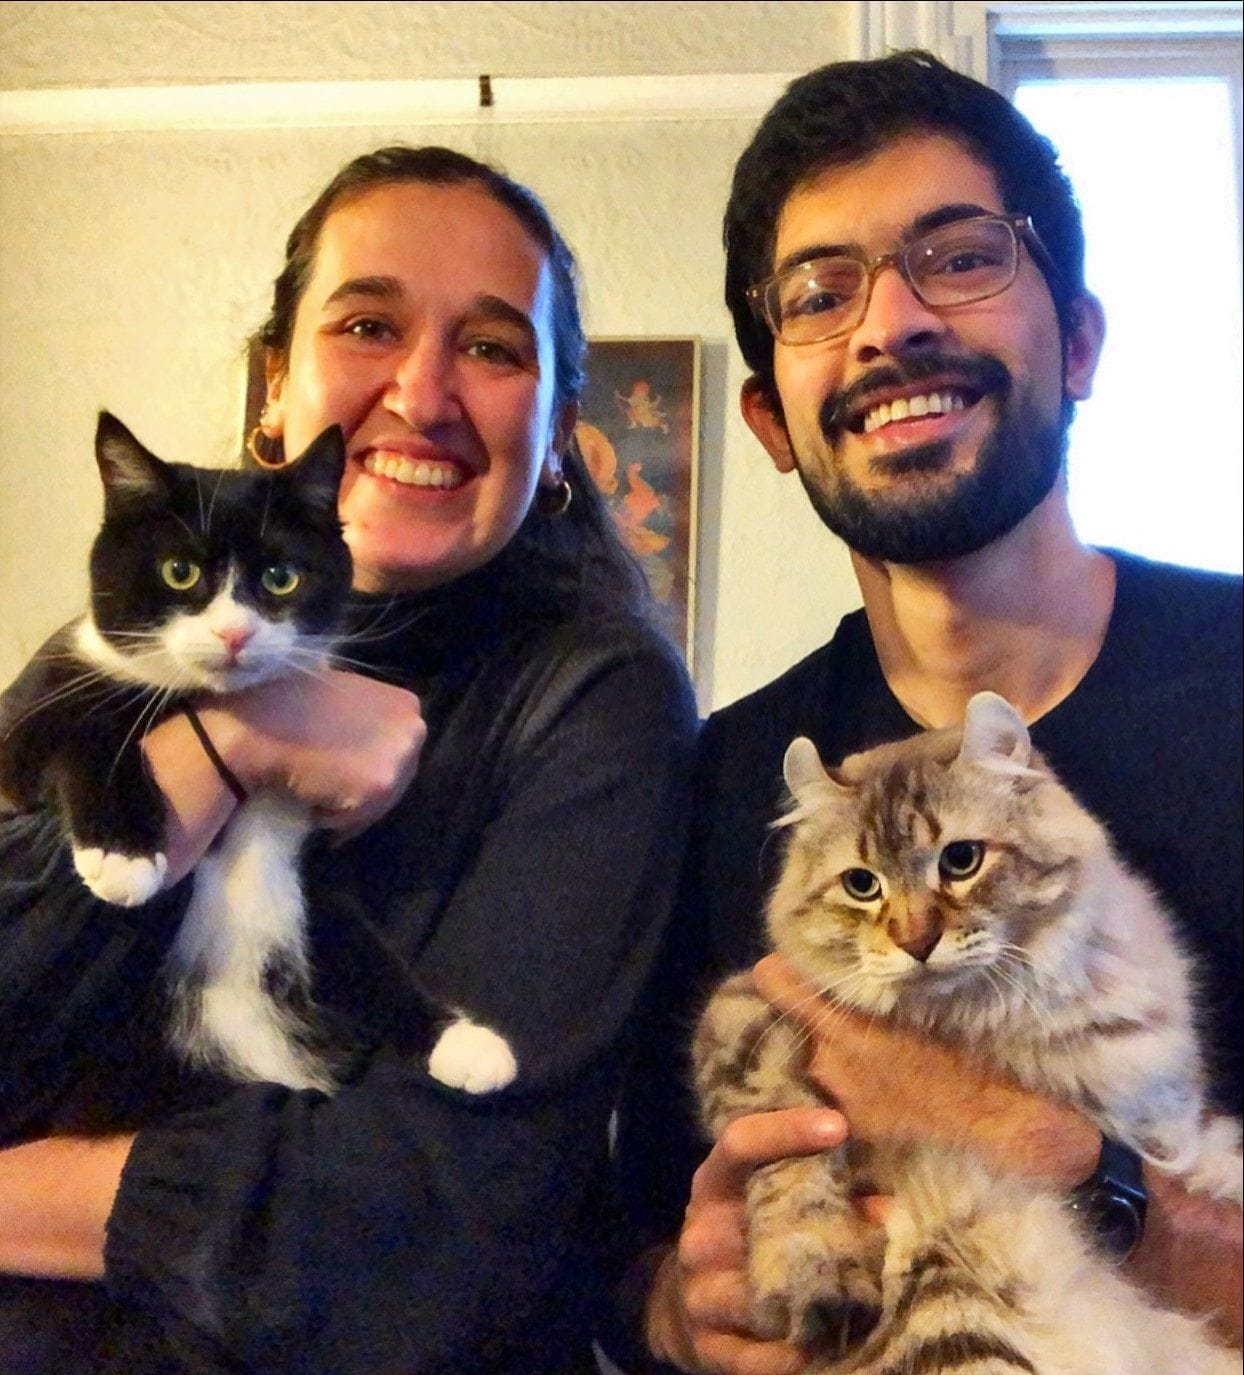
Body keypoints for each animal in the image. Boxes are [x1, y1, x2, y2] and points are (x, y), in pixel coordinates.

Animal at [0, 411, 516, 1106]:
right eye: (179, 572)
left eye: (281, 577)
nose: (234, 633)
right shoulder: (30, 718)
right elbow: (88, 727)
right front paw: (124, 856)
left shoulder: (313, 851)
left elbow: (360, 943)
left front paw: (459, 1041)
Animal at [693, 690, 1240, 1374]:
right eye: (862, 884)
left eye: (961, 860)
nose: (916, 942)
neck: (973, 1021)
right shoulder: (747, 1018)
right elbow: (791, 1160)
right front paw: (817, 1275)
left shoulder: (1155, 1108)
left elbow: (1194, 1153)